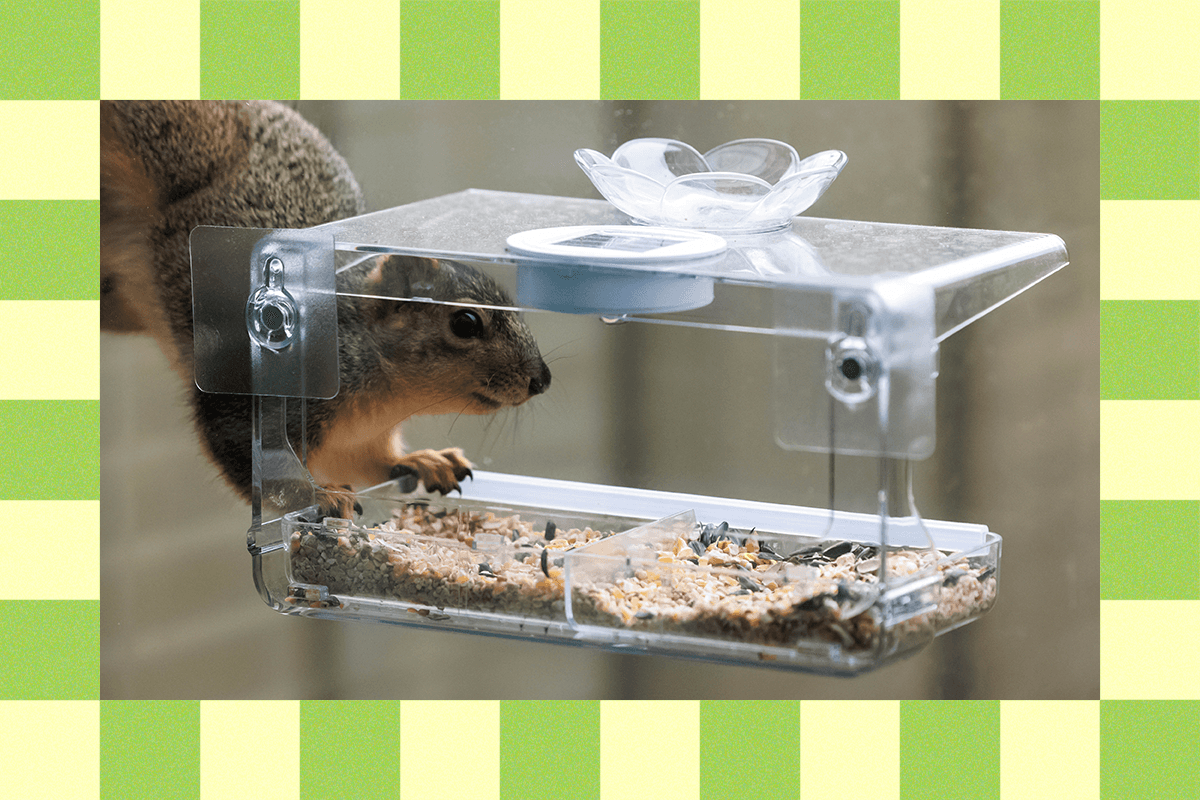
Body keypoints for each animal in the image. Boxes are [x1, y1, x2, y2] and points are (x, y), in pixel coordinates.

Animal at [101, 100, 551, 518]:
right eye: (466, 322)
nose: (542, 380)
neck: (386, 395)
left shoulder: (359, 439)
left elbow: (375, 462)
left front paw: (423, 461)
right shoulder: (252, 397)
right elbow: (245, 458)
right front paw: (318, 495)